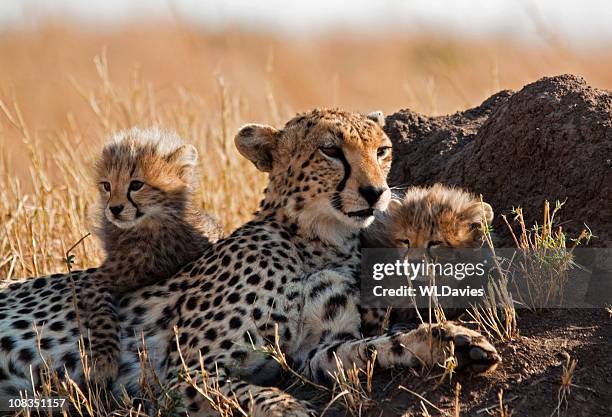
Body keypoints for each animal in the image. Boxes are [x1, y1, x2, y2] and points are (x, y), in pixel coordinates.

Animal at [0, 109, 500, 414]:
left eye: (382, 151)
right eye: (330, 150)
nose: (375, 192)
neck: (318, 242)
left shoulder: (312, 352)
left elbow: (370, 348)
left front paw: (448, 341)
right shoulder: (172, 371)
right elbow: (237, 388)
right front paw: (286, 407)